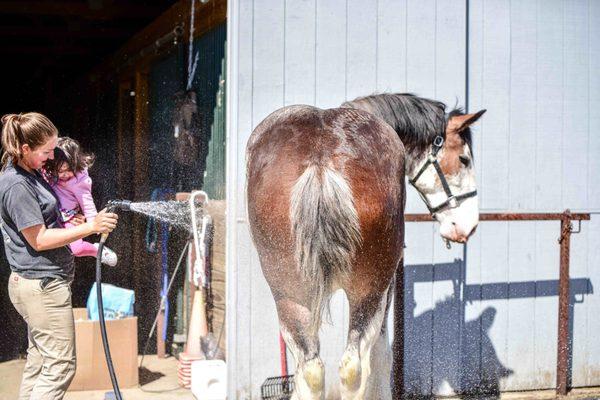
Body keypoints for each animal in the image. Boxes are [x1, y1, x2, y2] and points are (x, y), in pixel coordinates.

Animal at [246, 94, 486, 400]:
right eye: (464, 159)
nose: (468, 224)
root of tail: (321, 160)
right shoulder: (386, 290)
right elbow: (382, 356)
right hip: (369, 291)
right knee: (353, 366)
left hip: (289, 294)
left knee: (311, 369)